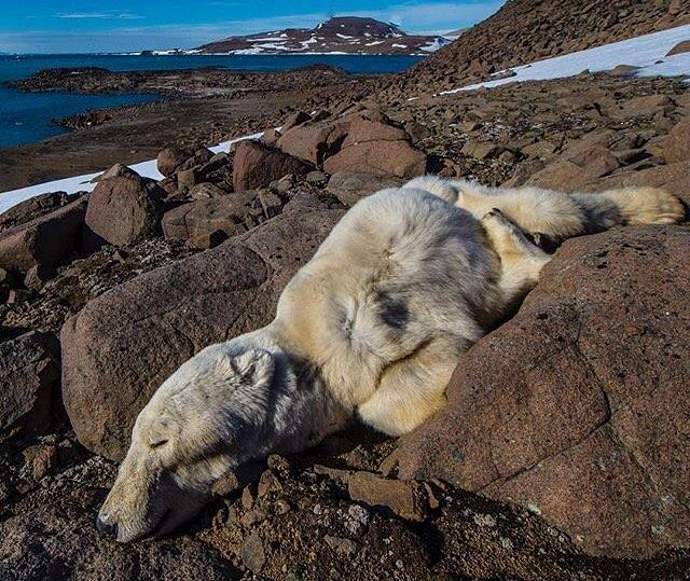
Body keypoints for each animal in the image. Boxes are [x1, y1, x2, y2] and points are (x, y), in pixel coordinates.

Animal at [97, 177, 684, 540]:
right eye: (133, 441)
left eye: (160, 441)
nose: (106, 521)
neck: (307, 349)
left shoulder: (372, 324)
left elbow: (409, 376)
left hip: (457, 194)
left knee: (544, 205)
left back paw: (657, 206)